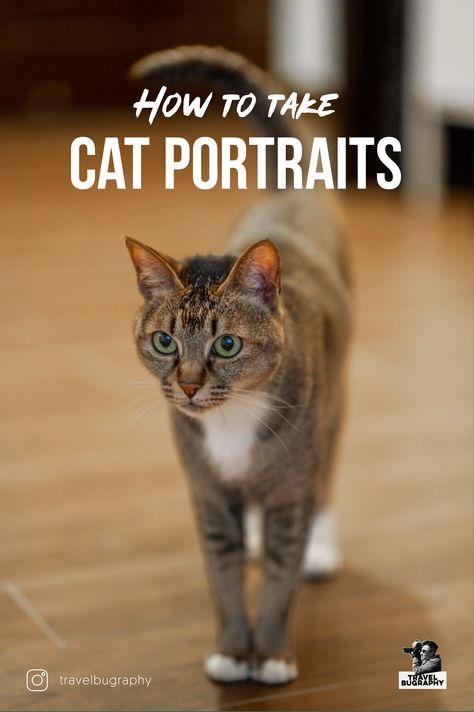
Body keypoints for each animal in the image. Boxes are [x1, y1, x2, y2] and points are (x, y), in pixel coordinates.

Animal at [126, 44, 352, 684]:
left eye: (226, 345)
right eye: (165, 342)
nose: (188, 385)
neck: (232, 423)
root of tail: (289, 192)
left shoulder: (290, 495)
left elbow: (278, 580)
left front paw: (270, 654)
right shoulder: (207, 495)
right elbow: (223, 579)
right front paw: (231, 650)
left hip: (334, 405)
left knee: (327, 471)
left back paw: (322, 547)